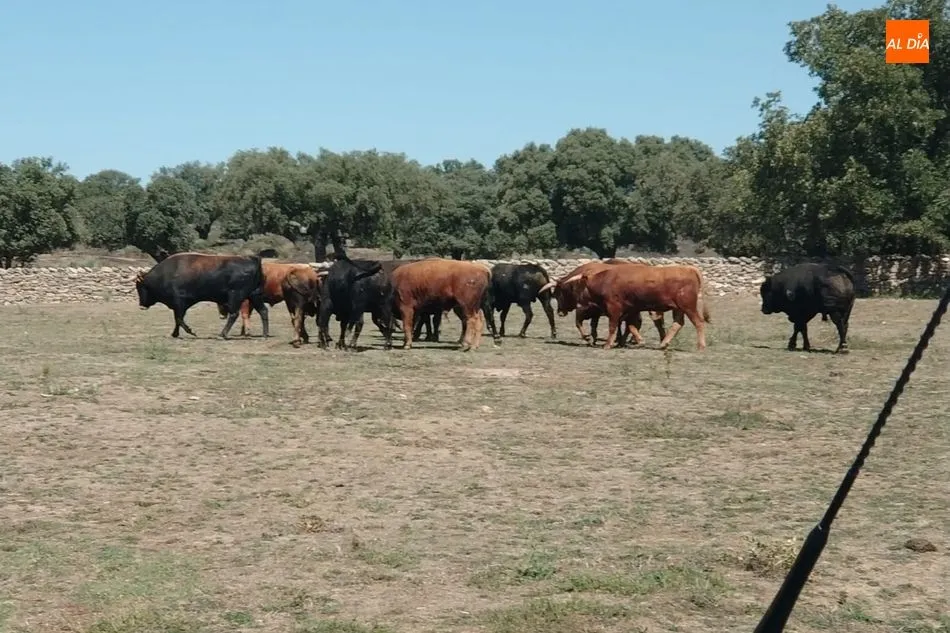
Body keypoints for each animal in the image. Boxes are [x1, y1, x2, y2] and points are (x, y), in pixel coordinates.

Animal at [133, 252, 268, 339]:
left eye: (140, 287)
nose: (141, 305)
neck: (167, 274)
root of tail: (252, 259)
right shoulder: (180, 306)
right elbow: (178, 319)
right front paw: (175, 334)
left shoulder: (179, 302)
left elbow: (179, 319)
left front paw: (191, 332)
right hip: (254, 296)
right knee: (263, 311)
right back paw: (265, 334)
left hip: (236, 296)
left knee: (234, 314)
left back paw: (223, 334)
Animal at [538, 260, 666, 346]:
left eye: (559, 294)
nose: (560, 312)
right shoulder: (597, 311)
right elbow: (593, 325)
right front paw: (593, 338)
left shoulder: (585, 310)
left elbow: (578, 323)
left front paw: (588, 338)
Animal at [558, 264, 710, 350]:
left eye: (574, 287)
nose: (560, 311)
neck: (605, 281)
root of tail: (689, 269)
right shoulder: (631, 310)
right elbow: (631, 326)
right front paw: (635, 341)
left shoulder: (614, 309)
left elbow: (613, 327)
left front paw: (608, 344)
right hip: (678, 308)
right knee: (678, 323)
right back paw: (663, 343)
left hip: (688, 306)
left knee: (699, 322)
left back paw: (701, 346)